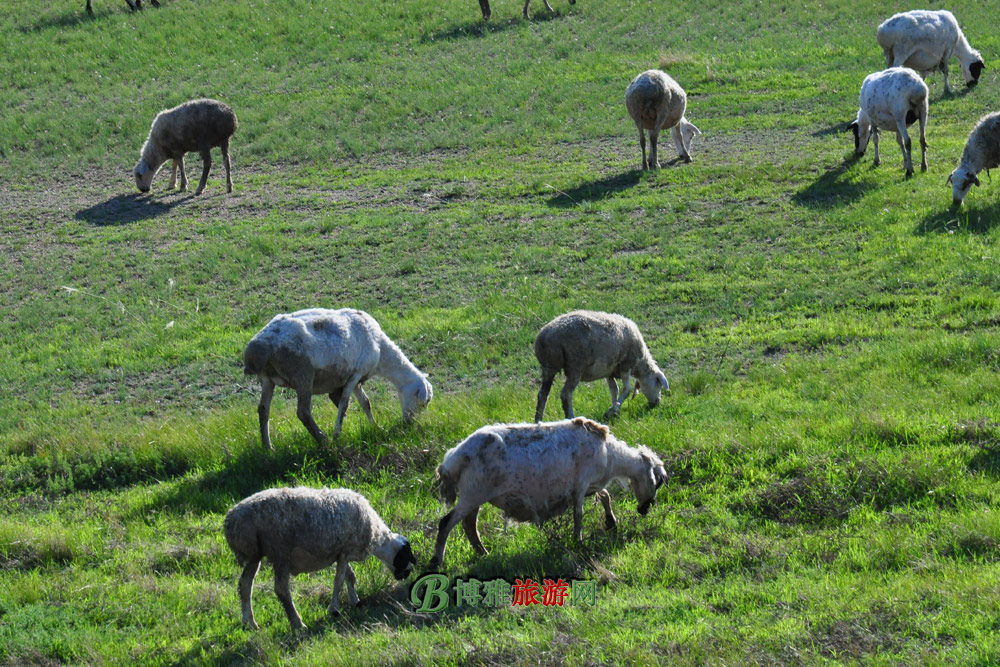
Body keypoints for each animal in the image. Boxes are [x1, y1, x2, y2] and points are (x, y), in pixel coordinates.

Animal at [224, 486, 418, 632]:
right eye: (406, 555)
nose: (406, 575)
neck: (377, 537)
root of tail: (231, 521)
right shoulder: (345, 550)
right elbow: (338, 581)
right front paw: (334, 610)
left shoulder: (341, 553)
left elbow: (350, 576)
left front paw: (355, 601)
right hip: (280, 551)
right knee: (281, 589)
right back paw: (297, 623)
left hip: (254, 555)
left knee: (245, 585)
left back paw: (249, 622)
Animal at [244, 310, 432, 452]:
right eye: (423, 403)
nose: (410, 423)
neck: (381, 352)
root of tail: (255, 351)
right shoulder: (354, 375)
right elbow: (344, 404)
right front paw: (337, 434)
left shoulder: (355, 378)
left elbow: (365, 403)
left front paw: (375, 426)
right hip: (302, 374)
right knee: (303, 412)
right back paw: (323, 439)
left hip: (267, 379)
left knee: (263, 410)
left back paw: (268, 448)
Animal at [428, 418, 668, 568]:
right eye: (658, 483)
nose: (645, 509)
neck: (611, 455)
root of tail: (453, 459)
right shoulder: (580, 485)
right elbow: (579, 515)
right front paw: (578, 541)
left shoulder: (590, 485)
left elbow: (605, 496)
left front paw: (611, 523)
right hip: (473, 493)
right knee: (446, 523)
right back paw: (436, 561)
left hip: (474, 496)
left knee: (469, 525)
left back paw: (483, 554)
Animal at [536, 310, 668, 422]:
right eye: (659, 384)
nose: (657, 403)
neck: (639, 365)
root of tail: (546, 337)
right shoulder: (626, 365)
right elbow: (627, 389)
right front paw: (613, 410)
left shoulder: (609, 371)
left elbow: (614, 389)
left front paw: (615, 411)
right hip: (575, 366)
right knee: (566, 394)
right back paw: (571, 418)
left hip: (549, 366)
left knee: (543, 395)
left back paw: (538, 421)